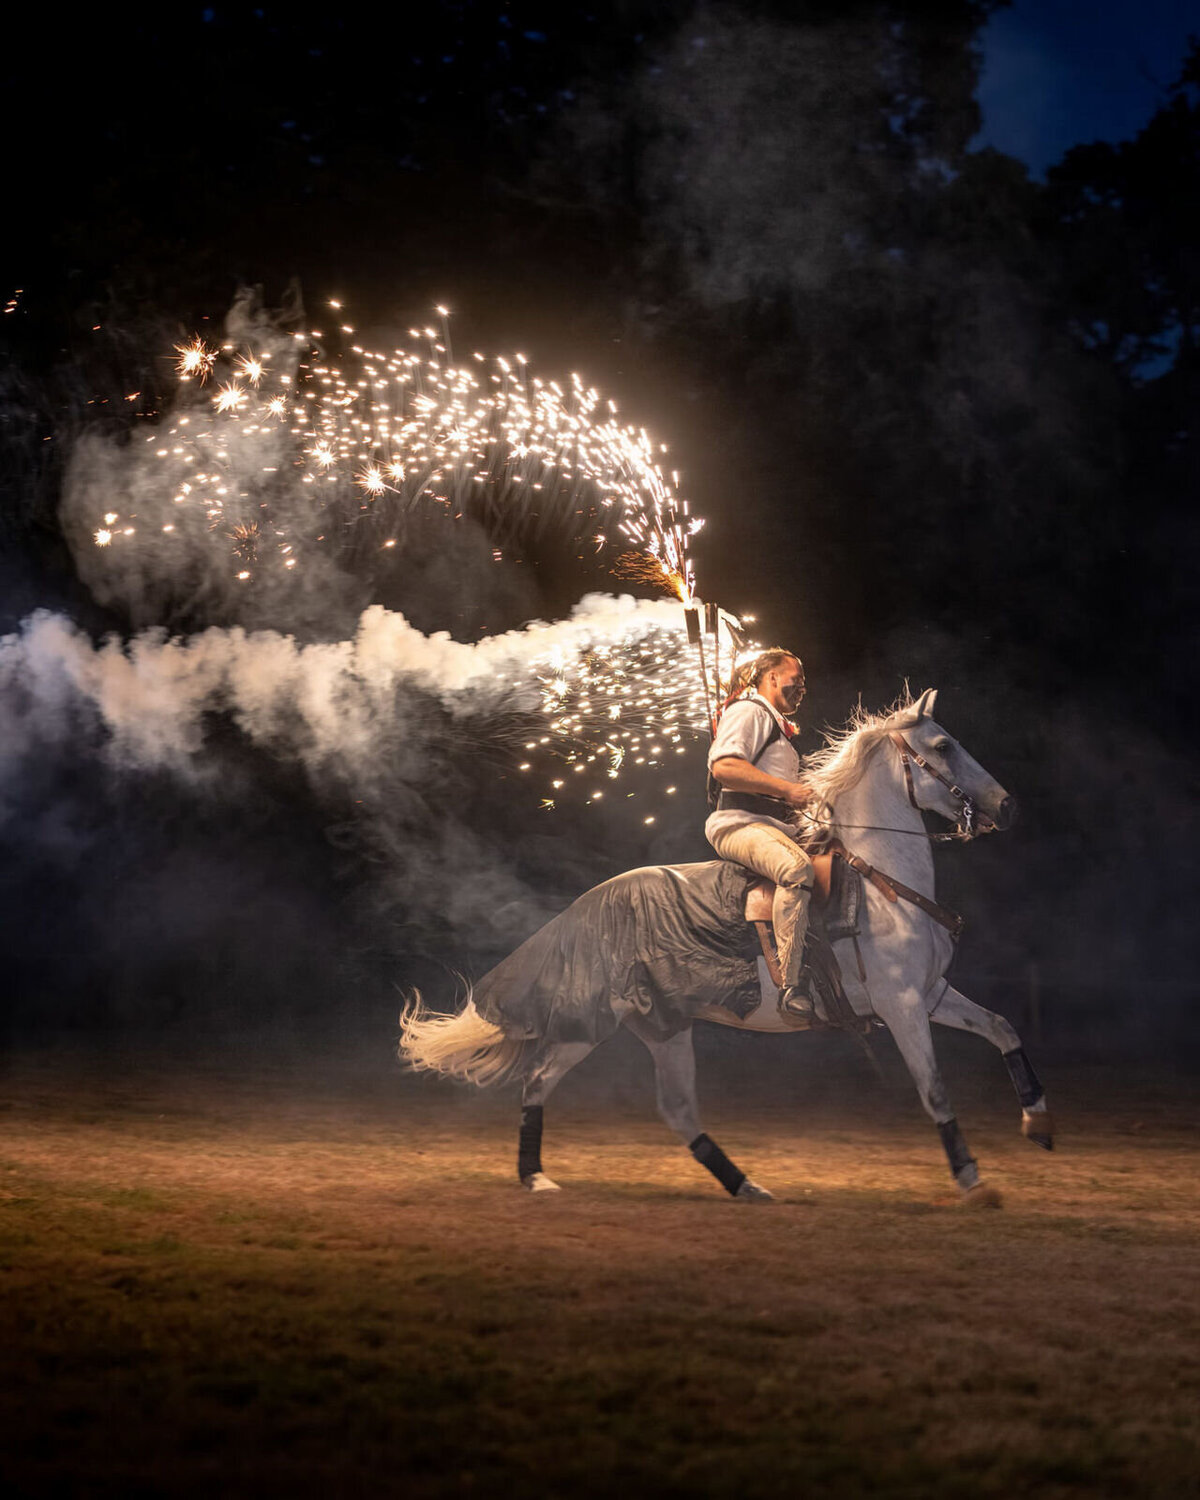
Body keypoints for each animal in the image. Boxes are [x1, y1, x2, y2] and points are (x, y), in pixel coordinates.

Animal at [402, 690, 1050, 1206]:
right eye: (943, 745)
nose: (1008, 806)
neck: (883, 882)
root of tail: (584, 911)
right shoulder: (902, 1005)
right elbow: (934, 1088)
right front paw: (973, 1181)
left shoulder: (932, 993)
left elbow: (1002, 1028)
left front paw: (1037, 1122)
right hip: (598, 1022)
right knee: (548, 1081)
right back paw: (540, 1177)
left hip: (658, 1024)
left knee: (660, 1105)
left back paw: (739, 1184)